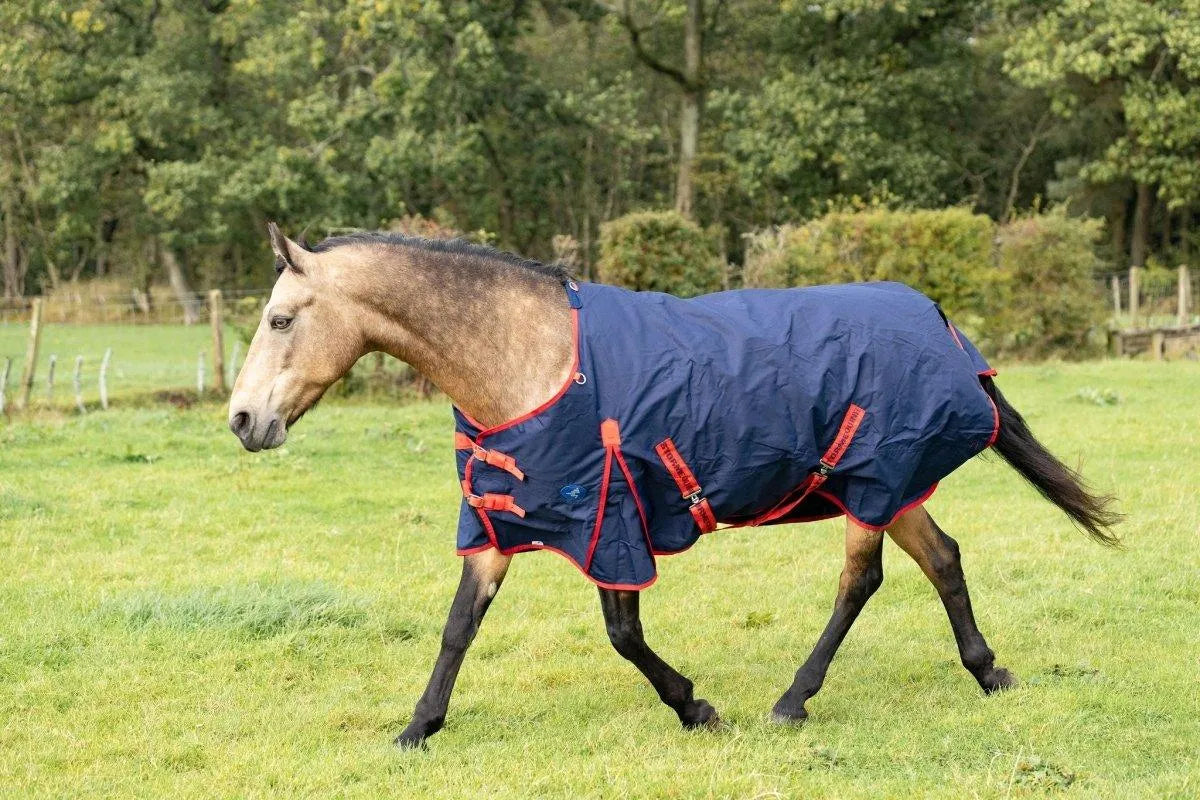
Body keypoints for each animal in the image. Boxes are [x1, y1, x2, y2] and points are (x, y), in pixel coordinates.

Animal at [228, 223, 1119, 748]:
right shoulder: (500, 523)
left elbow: (623, 634)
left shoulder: (611, 519)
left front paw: (697, 708)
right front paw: (419, 727)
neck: (533, 361)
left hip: (873, 482)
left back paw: (793, 700)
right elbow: (458, 629)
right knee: (943, 559)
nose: (242, 420)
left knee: (860, 581)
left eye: (280, 319)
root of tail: (935, 316)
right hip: (893, 488)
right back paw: (988, 672)